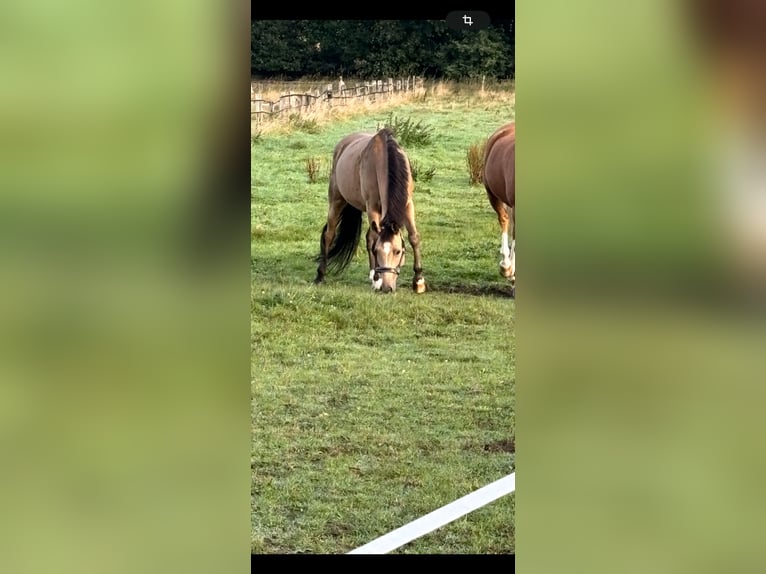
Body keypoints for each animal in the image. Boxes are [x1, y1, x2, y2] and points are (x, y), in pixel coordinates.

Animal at [316, 128, 428, 294]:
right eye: (377, 251)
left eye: (398, 251)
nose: (388, 288)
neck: (383, 161)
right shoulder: (372, 207)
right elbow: (375, 240)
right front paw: (377, 280)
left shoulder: (408, 204)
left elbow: (414, 237)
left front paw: (419, 281)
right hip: (336, 200)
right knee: (329, 235)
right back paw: (320, 275)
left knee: (368, 237)